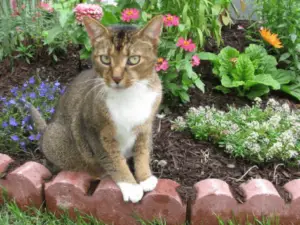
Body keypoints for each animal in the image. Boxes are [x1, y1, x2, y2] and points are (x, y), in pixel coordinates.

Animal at [30, 14, 164, 203]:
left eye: (133, 59)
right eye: (105, 59)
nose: (116, 78)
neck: (129, 95)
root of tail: (45, 132)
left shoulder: (145, 126)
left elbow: (143, 152)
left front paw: (145, 178)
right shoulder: (96, 131)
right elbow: (113, 160)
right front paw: (130, 186)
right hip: (57, 138)